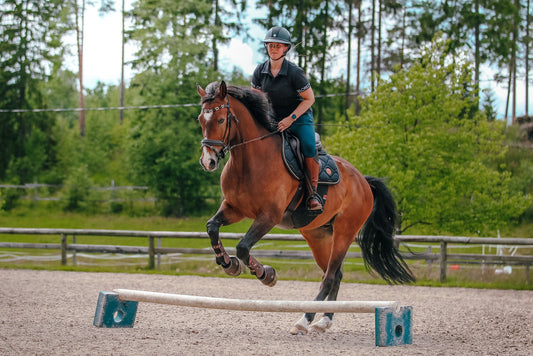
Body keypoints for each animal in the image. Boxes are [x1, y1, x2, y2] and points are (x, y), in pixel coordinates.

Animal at [197, 80, 414, 334]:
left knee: (329, 277)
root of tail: (363, 181)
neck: (249, 160)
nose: (208, 161)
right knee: (336, 274)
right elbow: (212, 227)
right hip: (317, 234)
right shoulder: (234, 209)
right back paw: (324, 320)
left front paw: (266, 274)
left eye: (221, 120)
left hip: (344, 233)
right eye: (201, 119)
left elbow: (242, 247)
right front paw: (227, 263)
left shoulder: (269, 216)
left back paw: (305, 320)